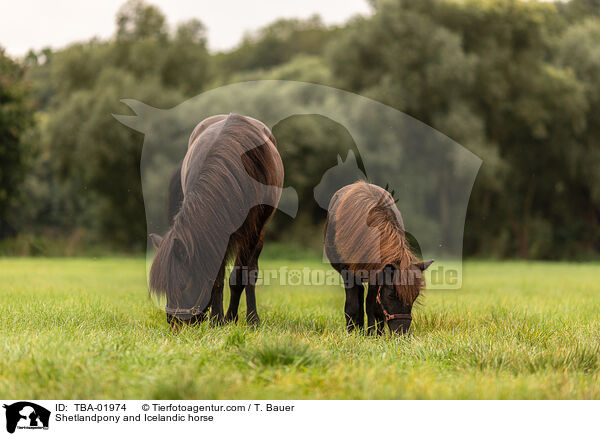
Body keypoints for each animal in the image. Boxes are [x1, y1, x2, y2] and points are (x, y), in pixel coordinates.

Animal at [148, 112, 284, 328]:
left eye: (182, 285)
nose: (173, 320)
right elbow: (216, 276)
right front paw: (217, 319)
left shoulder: (251, 231)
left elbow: (240, 276)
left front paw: (236, 318)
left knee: (251, 272)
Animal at [324, 181, 432, 334]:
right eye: (391, 295)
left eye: (415, 296)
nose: (402, 332)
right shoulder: (348, 273)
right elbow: (352, 305)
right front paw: (353, 332)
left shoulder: (377, 276)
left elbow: (373, 306)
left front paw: (374, 334)